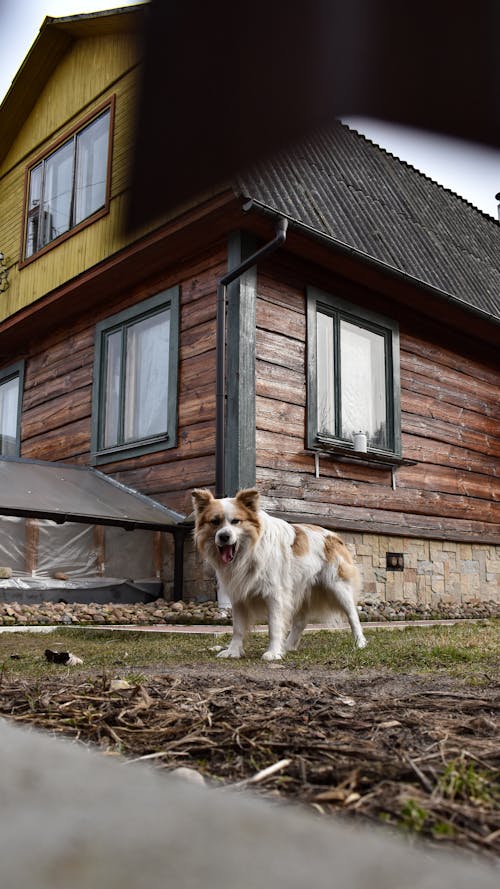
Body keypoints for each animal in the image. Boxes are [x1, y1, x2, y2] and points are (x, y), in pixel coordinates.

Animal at [189, 486, 366, 660]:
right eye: (215, 522)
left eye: (235, 521)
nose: (224, 536)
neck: (248, 551)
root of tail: (334, 536)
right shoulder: (239, 595)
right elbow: (238, 628)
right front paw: (233, 651)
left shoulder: (275, 594)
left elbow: (274, 626)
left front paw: (273, 653)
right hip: (301, 589)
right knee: (300, 621)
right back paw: (288, 646)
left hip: (338, 587)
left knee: (353, 615)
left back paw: (360, 643)